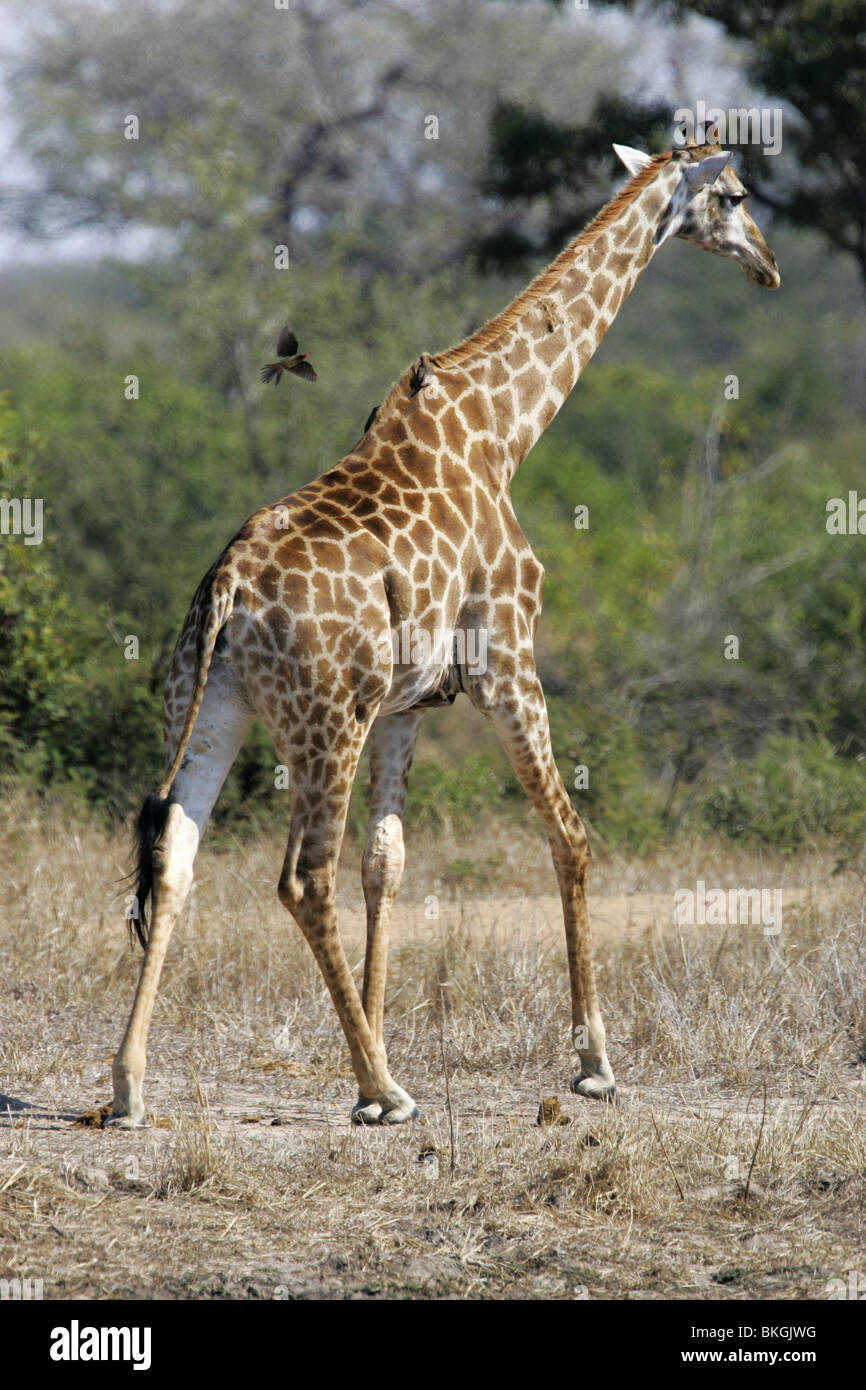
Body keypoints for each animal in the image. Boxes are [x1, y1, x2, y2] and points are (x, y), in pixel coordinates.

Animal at [108, 138, 778, 1128]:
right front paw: (591, 1064)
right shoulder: (509, 660)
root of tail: (228, 586)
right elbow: (570, 836)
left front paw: (372, 1056)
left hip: (208, 703)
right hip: (323, 719)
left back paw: (129, 1085)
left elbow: (386, 864)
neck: (505, 428)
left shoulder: (405, 706)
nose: (768, 264)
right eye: (733, 194)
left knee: (175, 854)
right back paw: (387, 1089)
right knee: (301, 877)